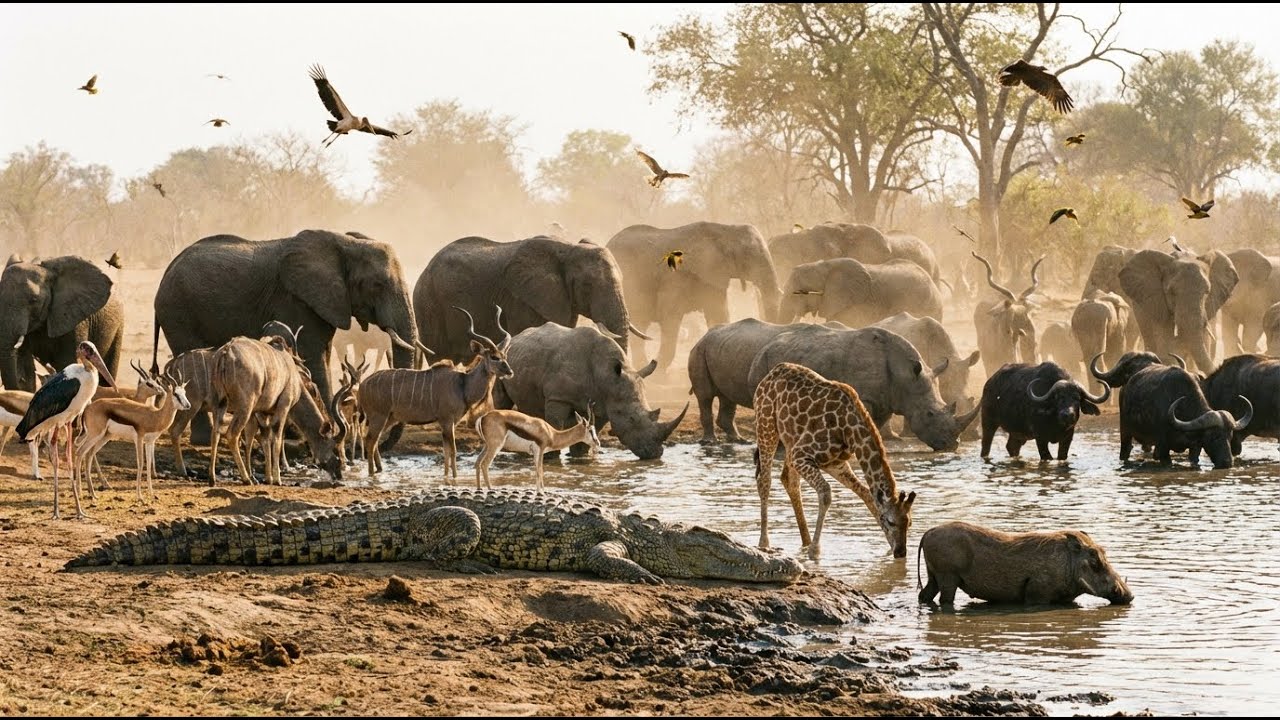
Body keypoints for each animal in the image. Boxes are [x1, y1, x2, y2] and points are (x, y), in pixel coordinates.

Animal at [152, 229, 419, 446]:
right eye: (378, 285)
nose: (383, 444)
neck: (347, 244)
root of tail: (166, 273)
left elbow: (322, 354)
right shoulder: (297, 300)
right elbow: (313, 357)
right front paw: (325, 433)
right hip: (178, 312)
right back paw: (205, 440)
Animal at [492, 323, 687, 459]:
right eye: (630, 418)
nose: (655, 453)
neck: (607, 376)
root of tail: (517, 336)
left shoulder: (603, 403)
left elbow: (594, 427)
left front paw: (581, 455)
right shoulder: (558, 397)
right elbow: (555, 424)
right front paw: (550, 457)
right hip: (502, 363)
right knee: (503, 401)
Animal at [606, 222, 782, 373]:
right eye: (748, 257)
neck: (725, 229)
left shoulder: (712, 278)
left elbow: (718, 314)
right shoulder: (674, 276)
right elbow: (670, 316)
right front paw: (660, 374)